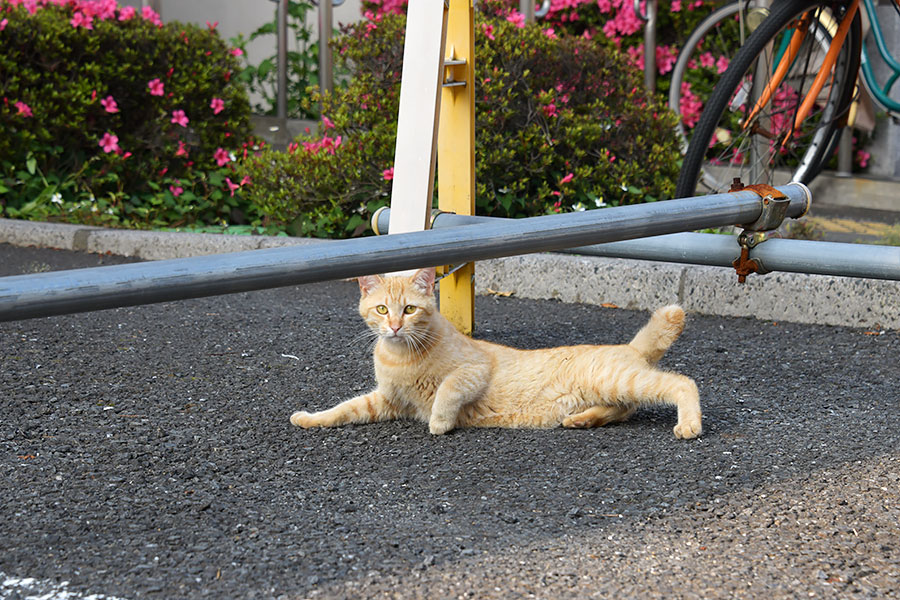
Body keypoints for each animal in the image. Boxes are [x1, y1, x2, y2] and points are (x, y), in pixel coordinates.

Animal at [290, 270, 704, 438]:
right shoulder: (387, 401)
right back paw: (581, 420)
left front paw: (439, 422)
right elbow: (344, 409)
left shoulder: (473, 370)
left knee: (682, 383)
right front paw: (309, 419)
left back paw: (689, 424)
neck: (400, 356)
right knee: (625, 409)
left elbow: (447, 390)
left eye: (408, 309)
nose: (393, 327)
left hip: (619, 380)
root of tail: (628, 346)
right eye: (381, 310)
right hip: (612, 388)